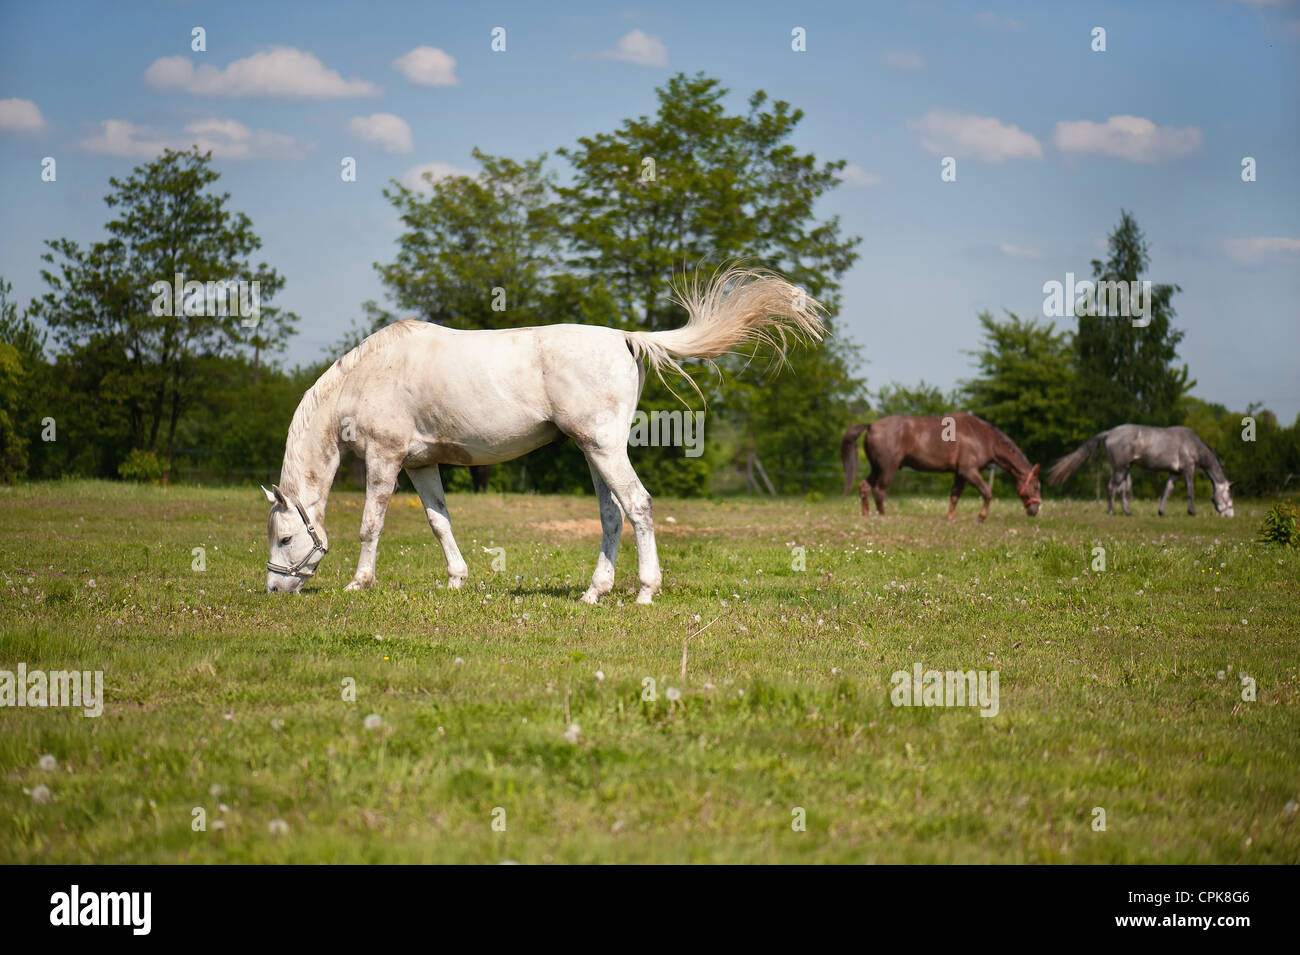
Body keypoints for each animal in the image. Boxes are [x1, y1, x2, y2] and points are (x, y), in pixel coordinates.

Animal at [261, 265, 821, 600]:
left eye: (286, 537)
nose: (273, 589)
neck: (364, 377)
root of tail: (624, 338)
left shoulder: (385, 458)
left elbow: (370, 524)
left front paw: (359, 583)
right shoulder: (421, 464)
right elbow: (440, 522)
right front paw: (456, 580)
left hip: (604, 448)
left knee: (637, 506)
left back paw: (644, 590)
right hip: (594, 452)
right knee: (611, 515)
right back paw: (594, 592)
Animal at [842, 415, 1045, 522]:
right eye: (1036, 486)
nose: (1036, 510)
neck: (983, 438)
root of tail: (871, 425)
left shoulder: (960, 474)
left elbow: (955, 495)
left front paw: (950, 517)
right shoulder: (969, 471)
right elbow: (987, 492)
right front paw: (981, 517)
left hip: (876, 468)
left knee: (865, 487)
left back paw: (866, 513)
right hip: (887, 468)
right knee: (879, 490)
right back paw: (883, 515)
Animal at [1040, 423, 1232, 514]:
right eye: (1229, 499)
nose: (1229, 515)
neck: (1194, 445)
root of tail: (1110, 432)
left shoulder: (1174, 472)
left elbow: (1167, 490)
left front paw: (1161, 512)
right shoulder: (1187, 469)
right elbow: (1190, 490)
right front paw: (1192, 512)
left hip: (1125, 468)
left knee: (1120, 490)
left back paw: (1127, 512)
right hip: (1121, 467)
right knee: (1113, 488)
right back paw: (1112, 511)